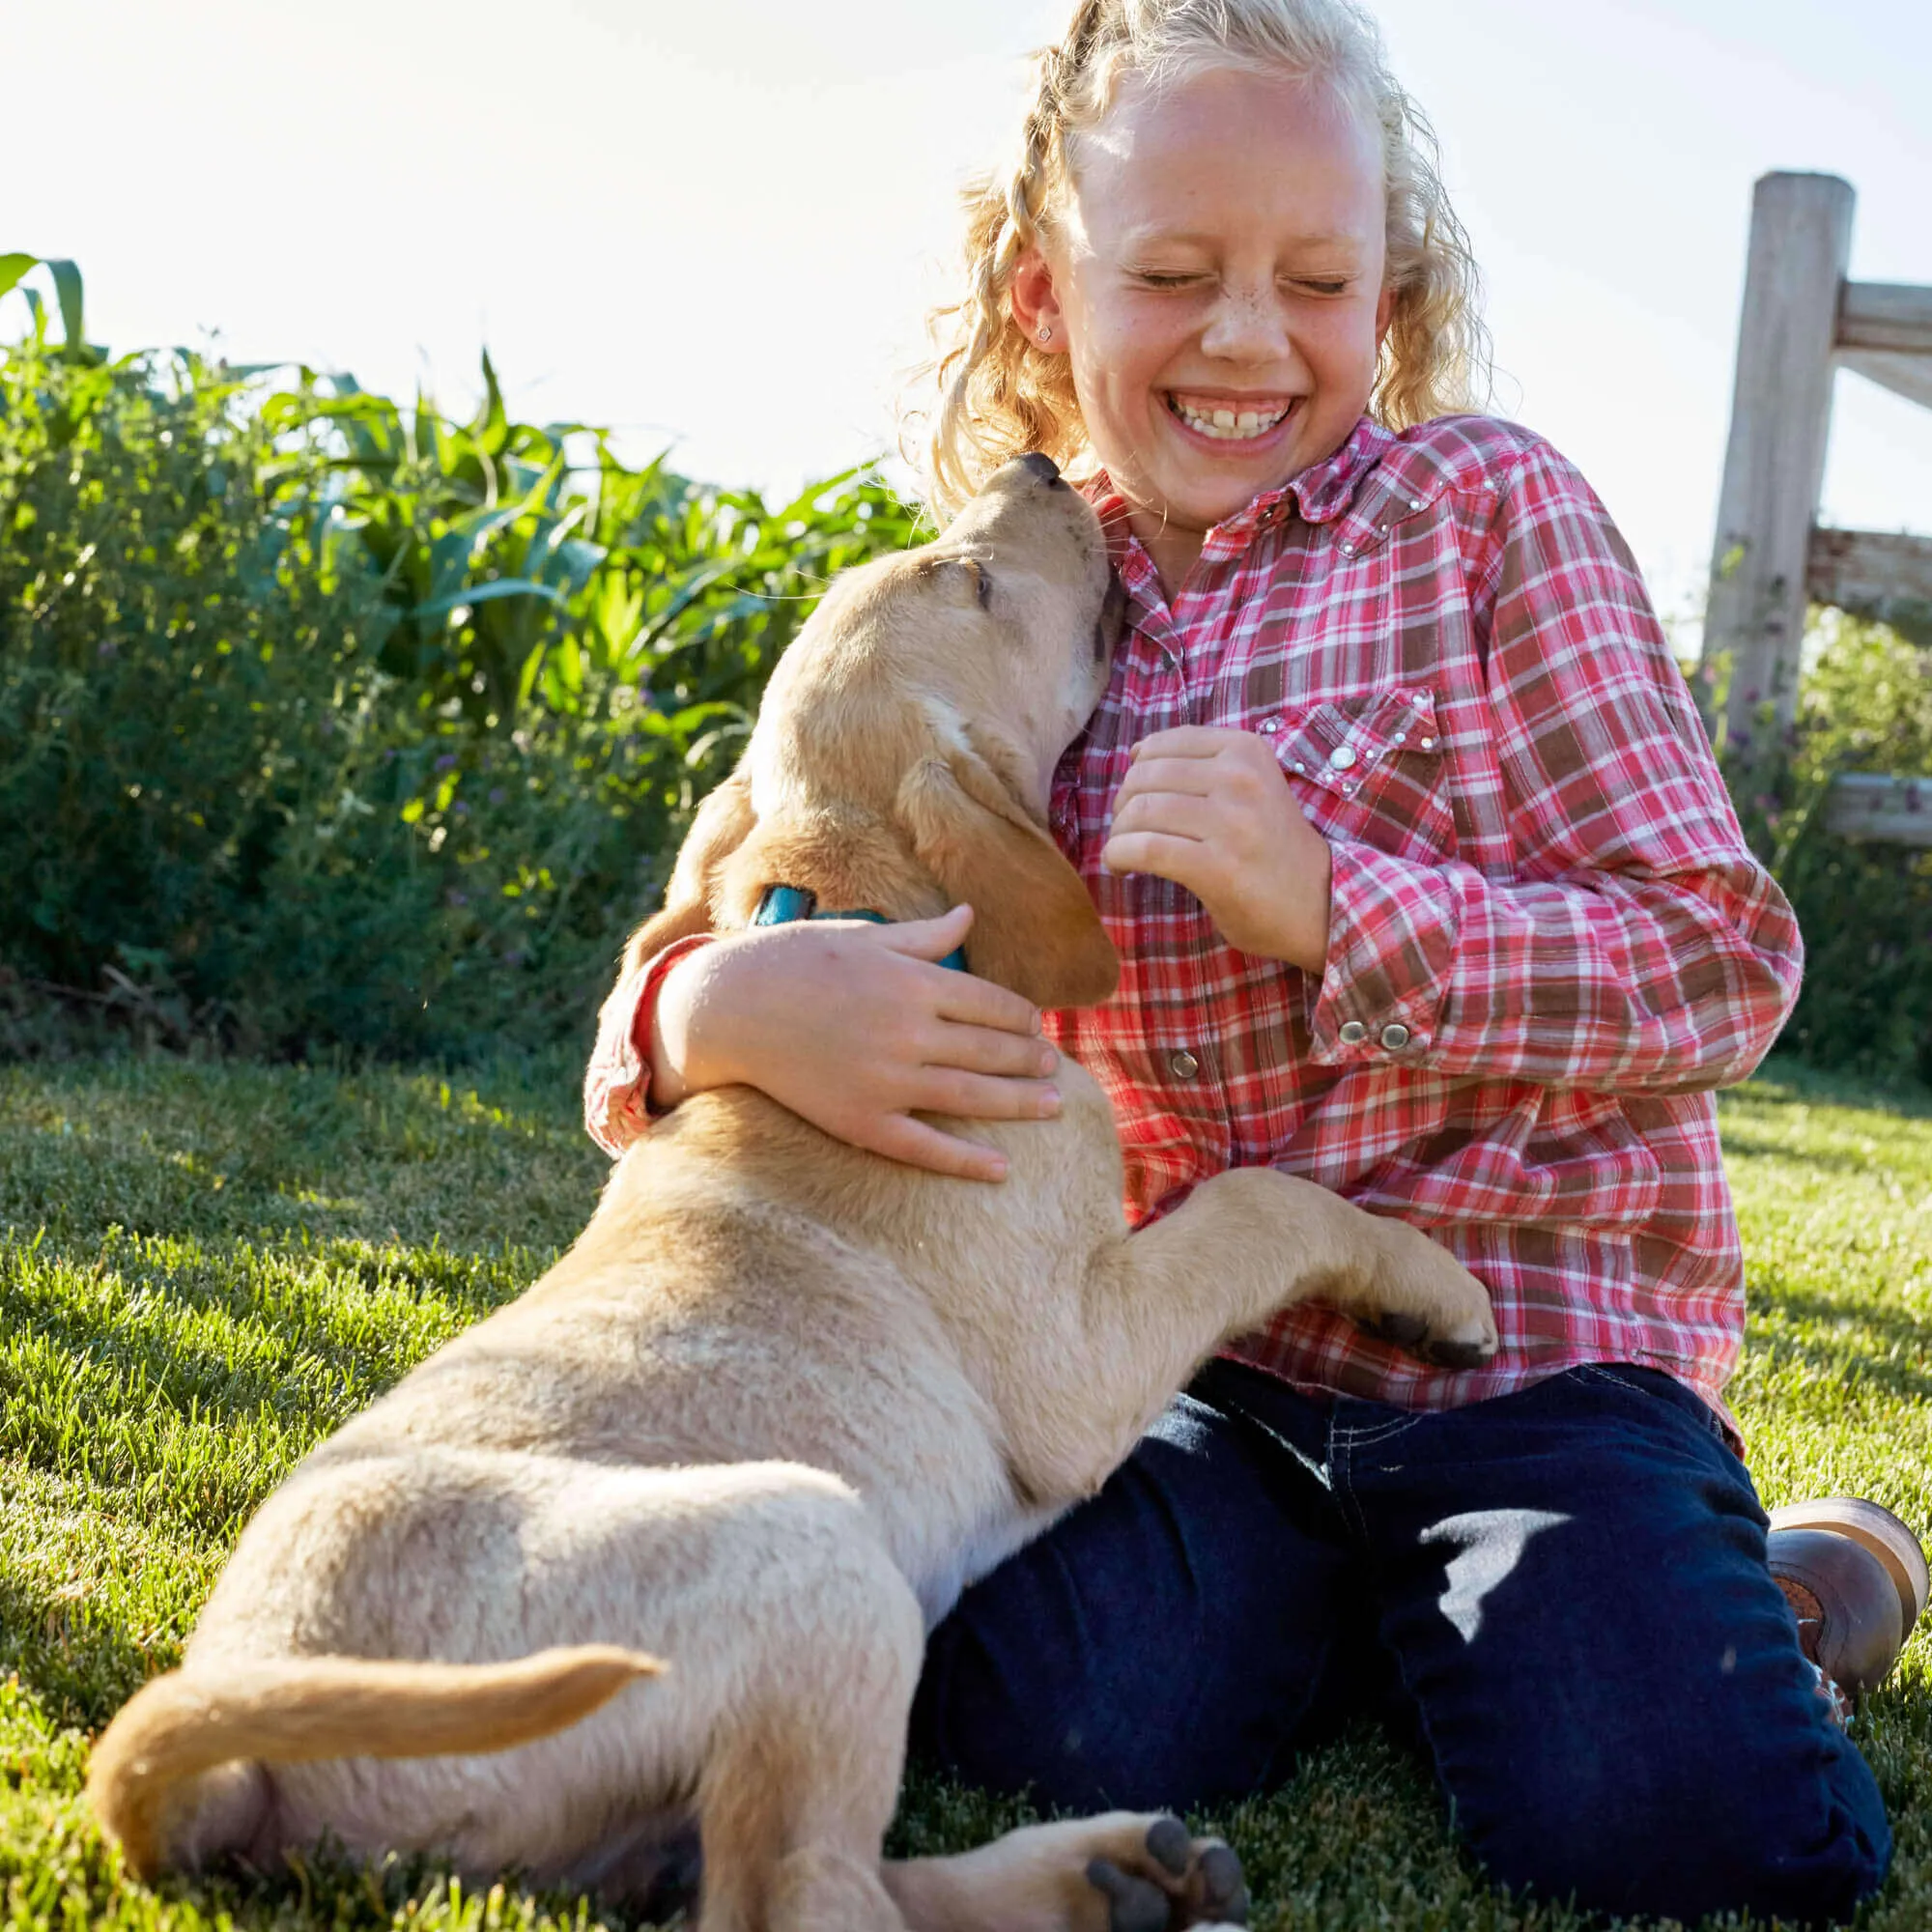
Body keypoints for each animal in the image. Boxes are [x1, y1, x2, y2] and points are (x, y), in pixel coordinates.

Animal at [91, 456, 1499, 1932]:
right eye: (969, 581)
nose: (1039, 466)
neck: (862, 918)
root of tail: (234, 1761)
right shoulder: (1079, 1355)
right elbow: (1260, 1204)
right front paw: (1432, 1291)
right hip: (814, 1543)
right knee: (804, 1895)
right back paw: (1099, 1878)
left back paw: (1119, 1874)